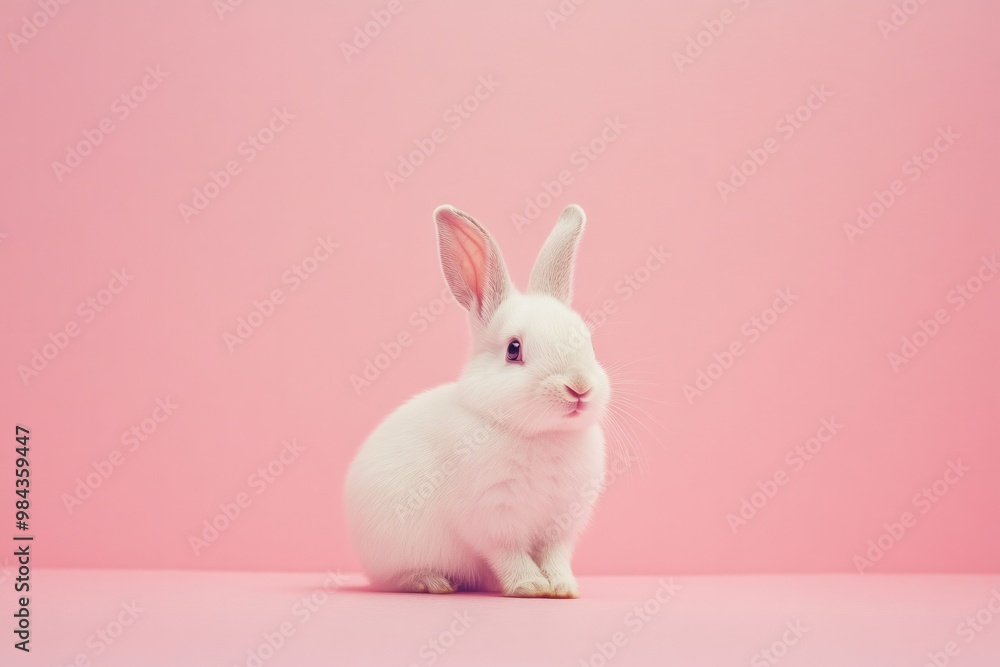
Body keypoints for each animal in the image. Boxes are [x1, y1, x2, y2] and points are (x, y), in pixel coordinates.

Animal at [344, 204, 610, 598]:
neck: (540, 434)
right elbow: (509, 554)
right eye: (514, 349)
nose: (578, 387)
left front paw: (563, 588)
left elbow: (555, 556)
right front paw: (530, 585)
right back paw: (431, 581)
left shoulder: (561, 523)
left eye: (588, 342)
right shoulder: (492, 520)